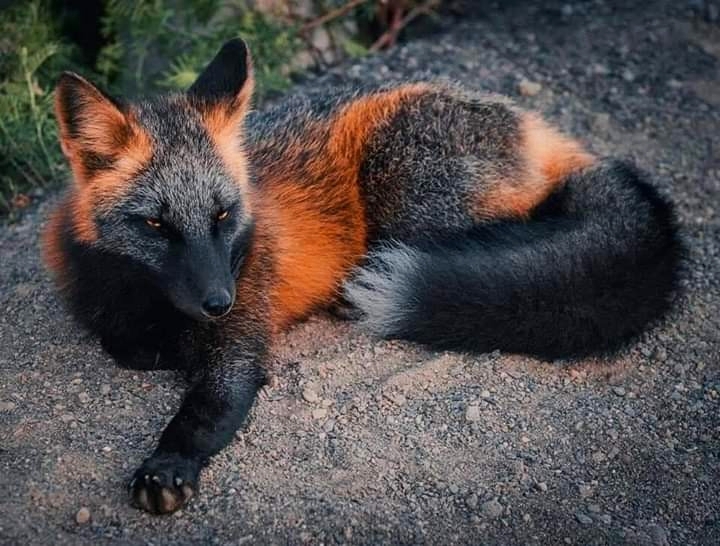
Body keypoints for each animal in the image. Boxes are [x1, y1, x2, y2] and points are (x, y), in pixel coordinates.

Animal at [43, 39, 681, 514]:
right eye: (155, 224)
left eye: (222, 215)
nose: (219, 301)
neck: (148, 301)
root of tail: (534, 125)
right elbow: (124, 345)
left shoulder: (242, 340)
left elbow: (205, 409)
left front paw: (167, 464)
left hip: (405, 196)